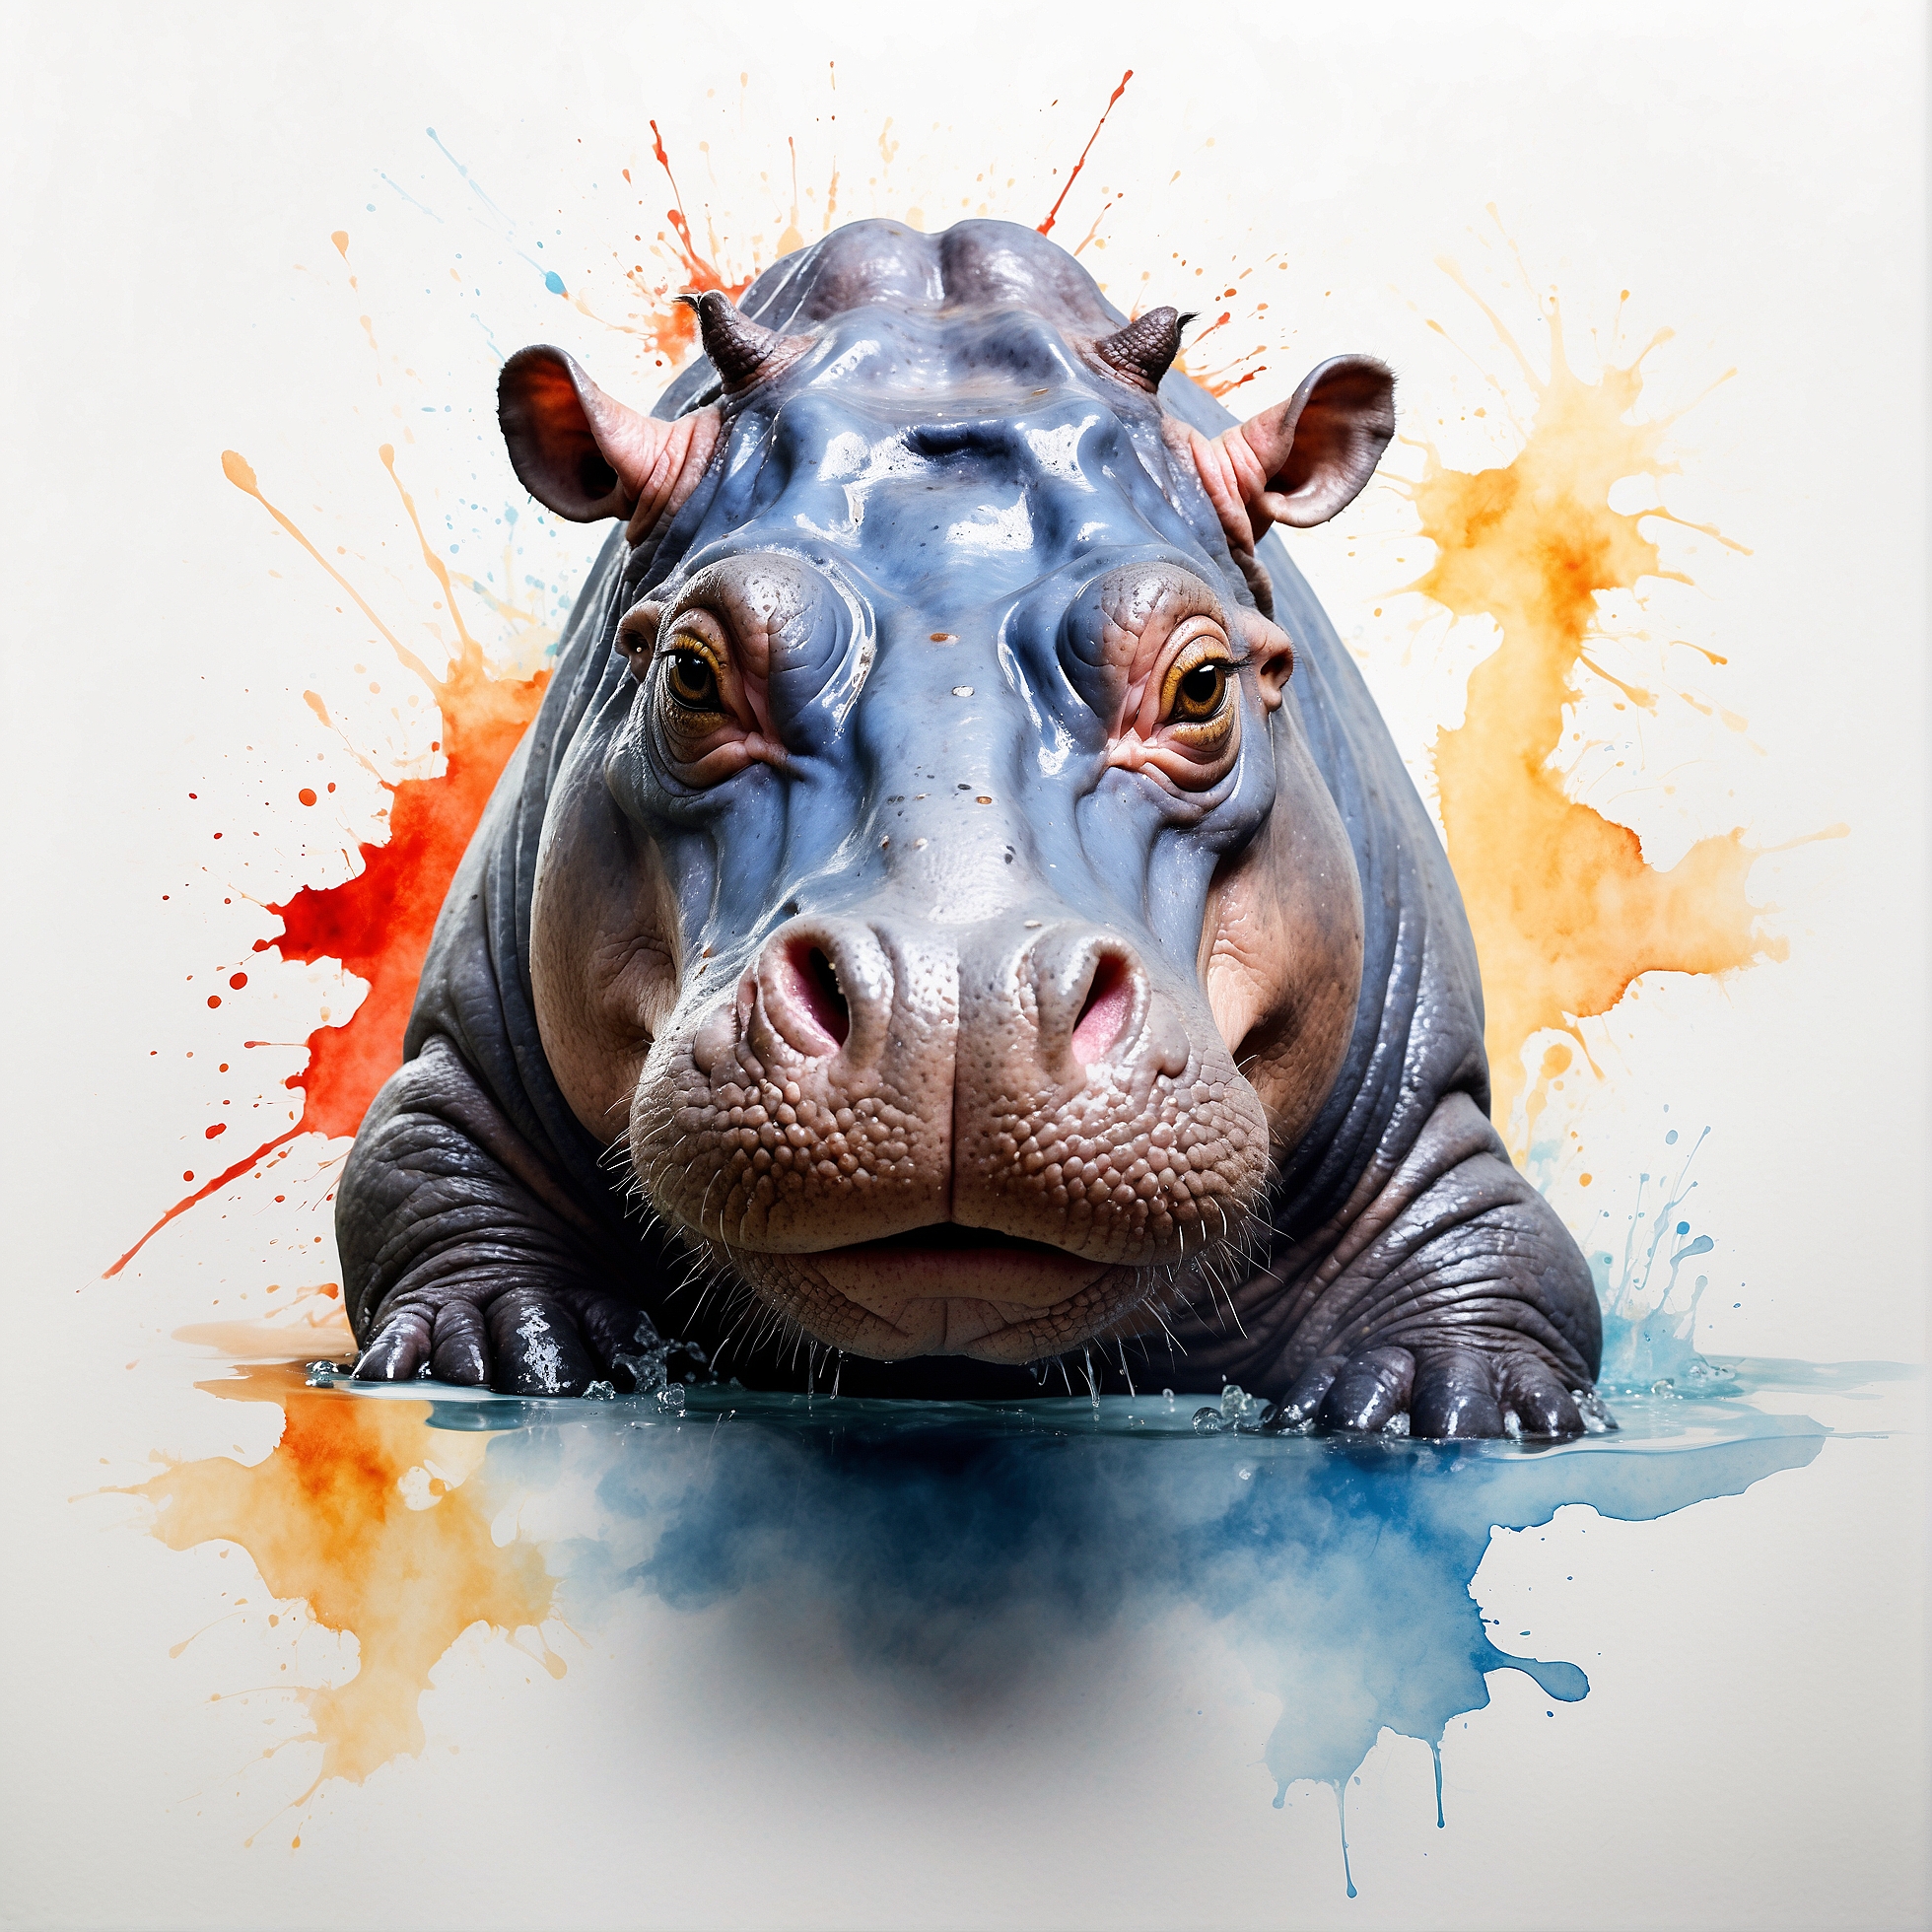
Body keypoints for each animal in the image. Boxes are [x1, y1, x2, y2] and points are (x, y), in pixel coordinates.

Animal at [338, 218, 1604, 1438]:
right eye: (690, 671)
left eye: (1202, 684)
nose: (950, 1008)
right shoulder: (463, 1056)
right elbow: (418, 1166)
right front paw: (509, 1347)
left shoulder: (1424, 1113)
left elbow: (1495, 1248)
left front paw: (1445, 1398)